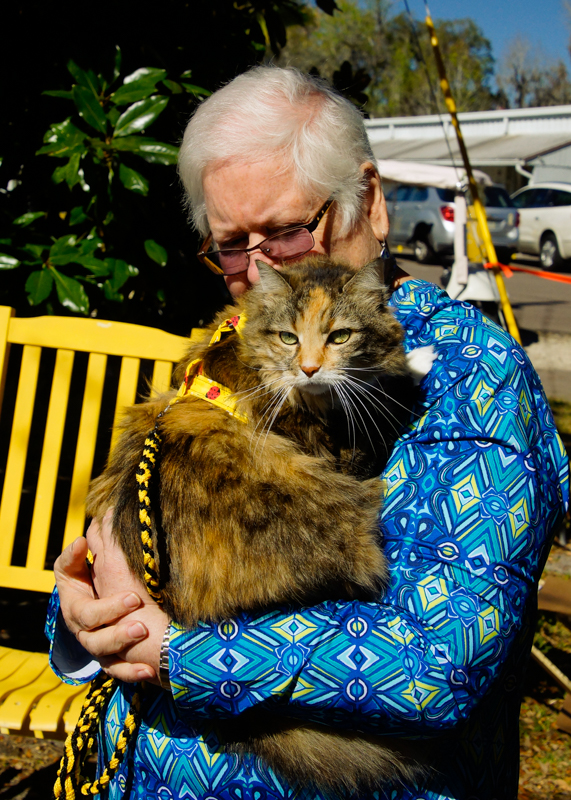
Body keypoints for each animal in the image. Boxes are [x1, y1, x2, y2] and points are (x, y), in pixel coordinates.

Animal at [87, 255, 433, 795]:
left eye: (339, 336)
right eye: (289, 337)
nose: (310, 367)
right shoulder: (346, 450)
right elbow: (386, 399)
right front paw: (418, 360)